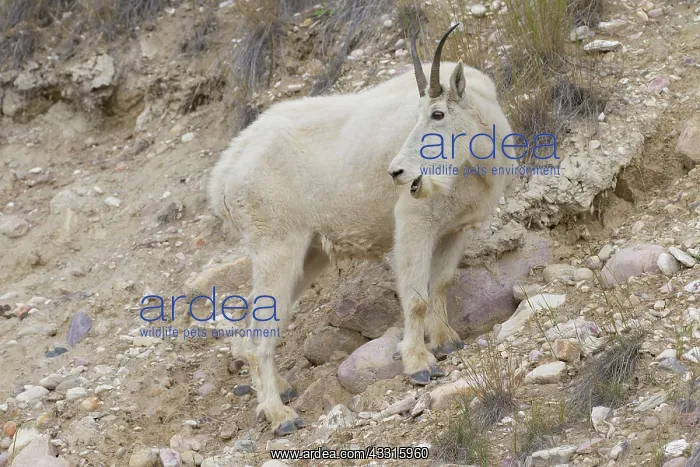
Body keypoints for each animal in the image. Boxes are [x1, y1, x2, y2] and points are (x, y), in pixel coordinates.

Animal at [207, 23, 519, 436]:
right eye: (417, 116)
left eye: (437, 113)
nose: (398, 172)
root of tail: (224, 176)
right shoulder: (414, 224)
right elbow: (416, 296)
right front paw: (419, 364)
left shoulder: (456, 230)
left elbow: (440, 284)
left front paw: (446, 341)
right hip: (276, 246)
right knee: (261, 334)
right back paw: (280, 415)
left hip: (310, 254)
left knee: (255, 327)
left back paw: (280, 390)